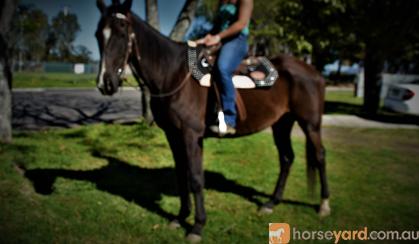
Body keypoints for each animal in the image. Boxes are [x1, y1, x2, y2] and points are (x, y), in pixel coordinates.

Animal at [95, 0, 332, 240]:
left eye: (122, 33)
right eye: (97, 35)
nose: (105, 83)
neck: (173, 75)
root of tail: (313, 72)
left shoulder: (191, 135)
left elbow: (195, 178)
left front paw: (197, 226)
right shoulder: (173, 135)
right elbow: (181, 175)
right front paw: (180, 217)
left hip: (310, 124)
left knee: (320, 156)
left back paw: (323, 205)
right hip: (281, 123)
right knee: (286, 158)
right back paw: (271, 203)